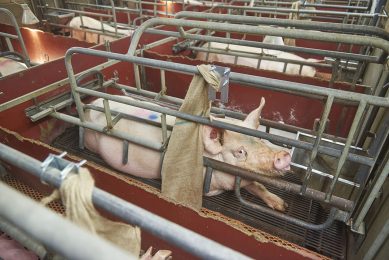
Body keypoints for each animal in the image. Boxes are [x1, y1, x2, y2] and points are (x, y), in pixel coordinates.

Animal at [85, 96, 292, 210]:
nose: (283, 155)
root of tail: (91, 102)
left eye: (261, 140)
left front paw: (282, 206)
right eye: (240, 152)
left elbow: (258, 185)